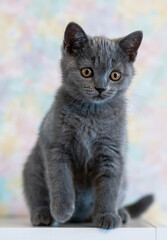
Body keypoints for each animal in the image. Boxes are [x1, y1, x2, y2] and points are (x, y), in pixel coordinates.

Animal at [22, 22, 153, 229]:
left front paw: (107, 215)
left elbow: (109, 188)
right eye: (87, 71)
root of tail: (79, 218)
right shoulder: (55, 146)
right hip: (32, 168)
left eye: (115, 75)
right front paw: (62, 209)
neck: (90, 115)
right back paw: (43, 215)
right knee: (36, 194)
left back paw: (121, 213)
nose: (100, 88)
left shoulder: (112, 151)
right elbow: (60, 179)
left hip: (124, 182)